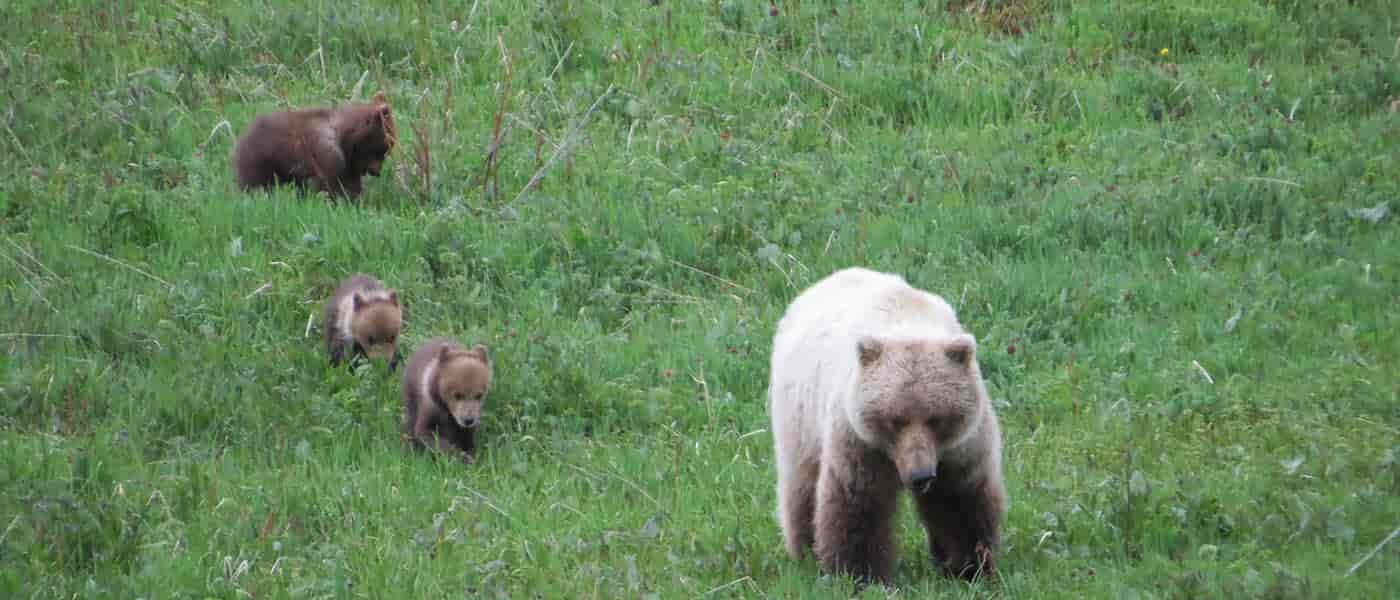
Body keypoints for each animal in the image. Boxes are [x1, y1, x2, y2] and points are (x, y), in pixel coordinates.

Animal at [231, 92, 398, 199]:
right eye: (383, 149)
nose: (376, 171)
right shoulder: (325, 154)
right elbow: (329, 184)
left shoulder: (349, 163)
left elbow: (350, 184)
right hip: (260, 159)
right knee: (256, 184)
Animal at [768, 267, 1006, 586]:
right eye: (895, 420)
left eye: (936, 418)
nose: (920, 475)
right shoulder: (859, 441)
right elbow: (858, 503)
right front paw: (860, 574)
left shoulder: (961, 446)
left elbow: (960, 500)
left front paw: (968, 567)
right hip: (800, 416)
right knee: (801, 483)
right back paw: (805, 550)